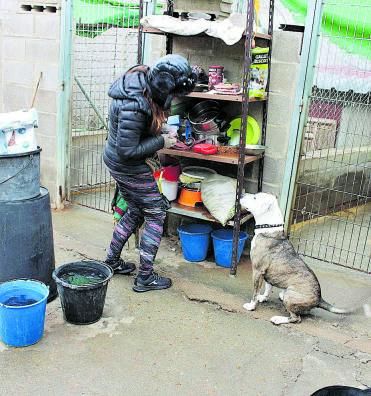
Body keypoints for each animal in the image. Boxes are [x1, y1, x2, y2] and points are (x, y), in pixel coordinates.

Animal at [240, 192, 350, 324]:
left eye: (255, 198)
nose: (242, 194)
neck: (269, 228)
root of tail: (319, 298)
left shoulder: (257, 271)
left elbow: (255, 292)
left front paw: (251, 306)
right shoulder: (266, 273)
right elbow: (268, 287)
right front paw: (263, 298)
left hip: (290, 295)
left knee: (296, 318)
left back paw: (278, 319)